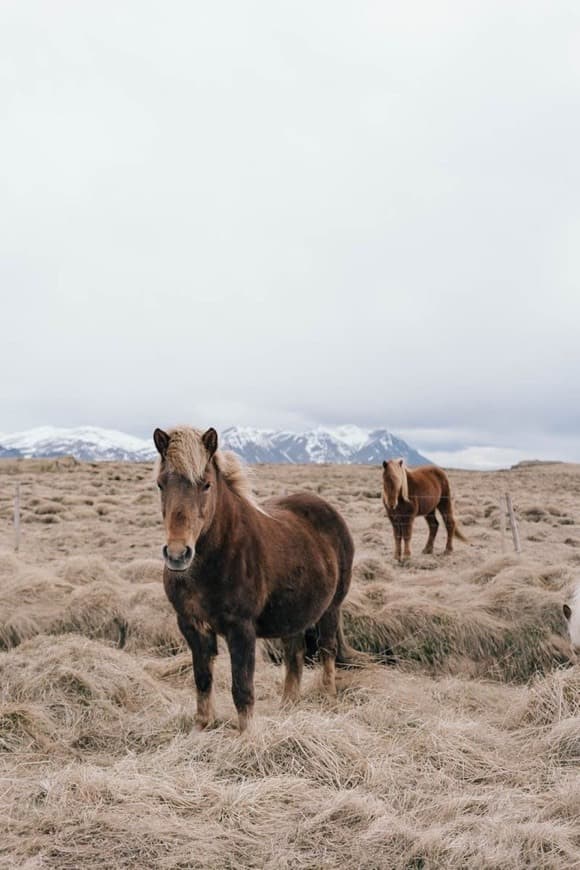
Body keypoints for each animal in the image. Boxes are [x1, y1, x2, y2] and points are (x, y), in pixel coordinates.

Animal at [152, 426, 356, 732]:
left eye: (206, 485)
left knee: (327, 650)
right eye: (161, 484)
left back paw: (329, 698)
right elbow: (202, 680)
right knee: (294, 656)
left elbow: (242, 688)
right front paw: (202, 727)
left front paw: (248, 736)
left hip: (331, 609)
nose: (178, 555)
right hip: (293, 614)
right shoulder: (192, 626)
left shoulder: (241, 629)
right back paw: (289, 706)